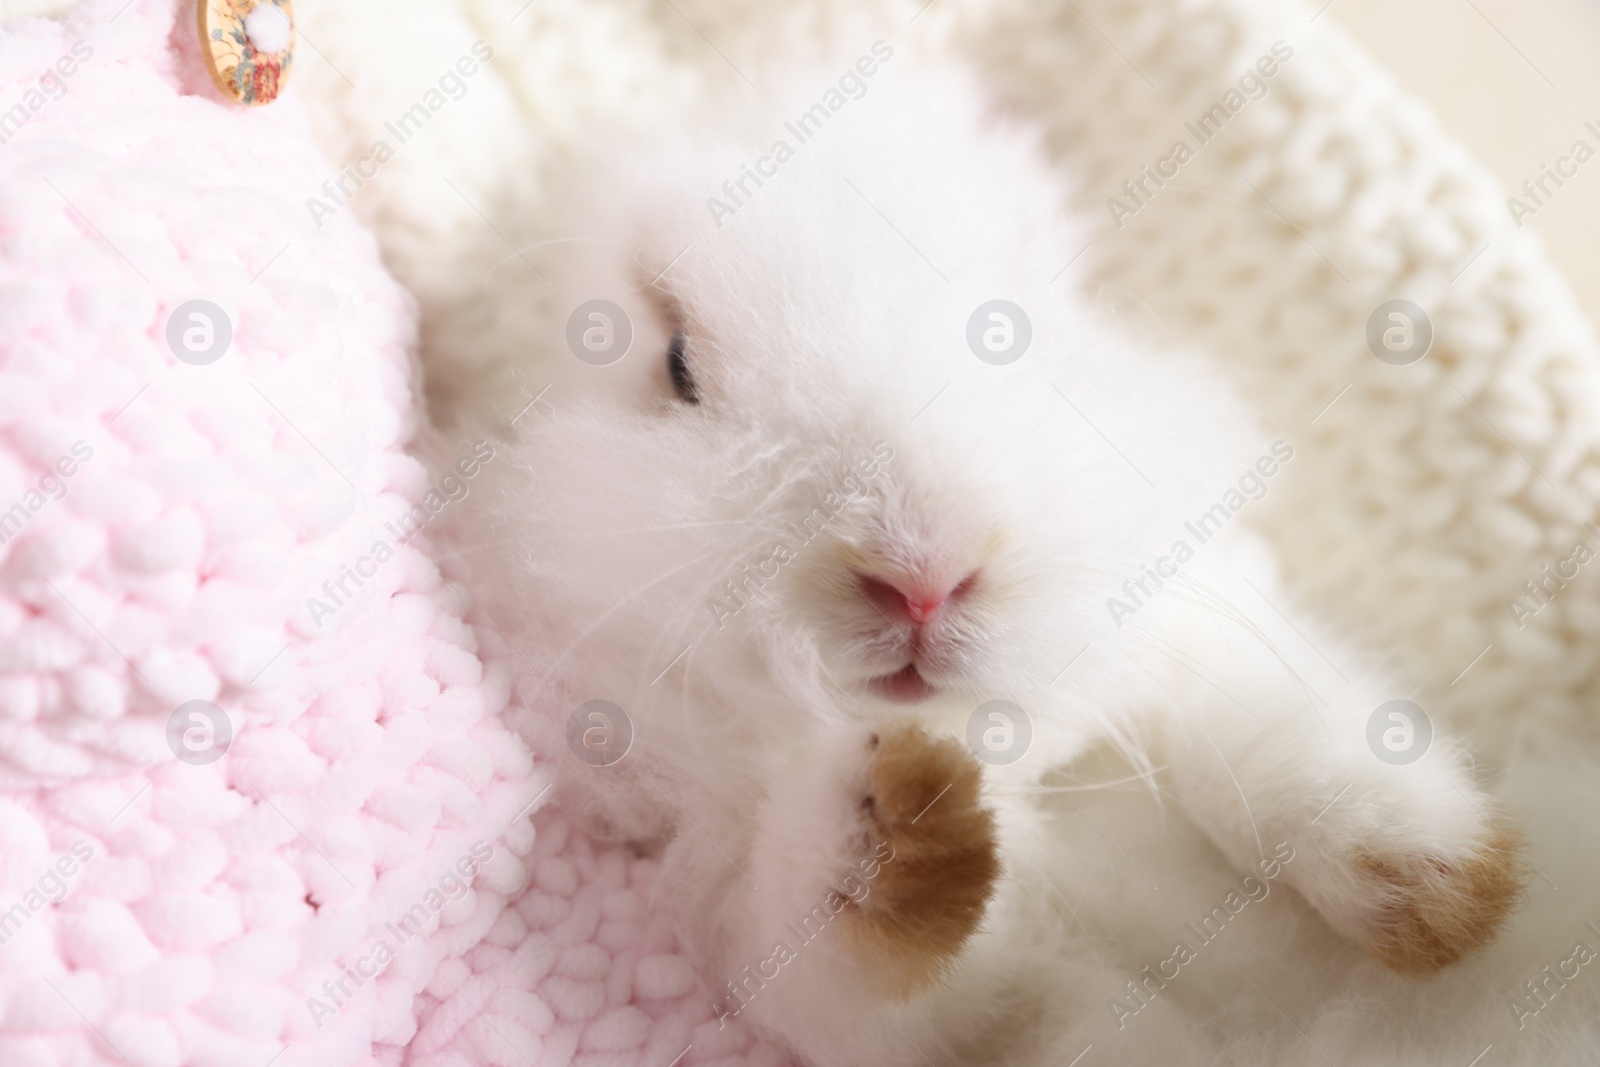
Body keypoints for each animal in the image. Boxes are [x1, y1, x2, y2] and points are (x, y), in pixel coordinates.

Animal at [464, 51, 1523, 1067]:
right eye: (678, 366)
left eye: (1018, 332)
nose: (923, 578)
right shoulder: (761, 906)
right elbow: (860, 949)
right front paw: (907, 816)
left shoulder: (1191, 624)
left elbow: (1277, 750)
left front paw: (1453, 898)